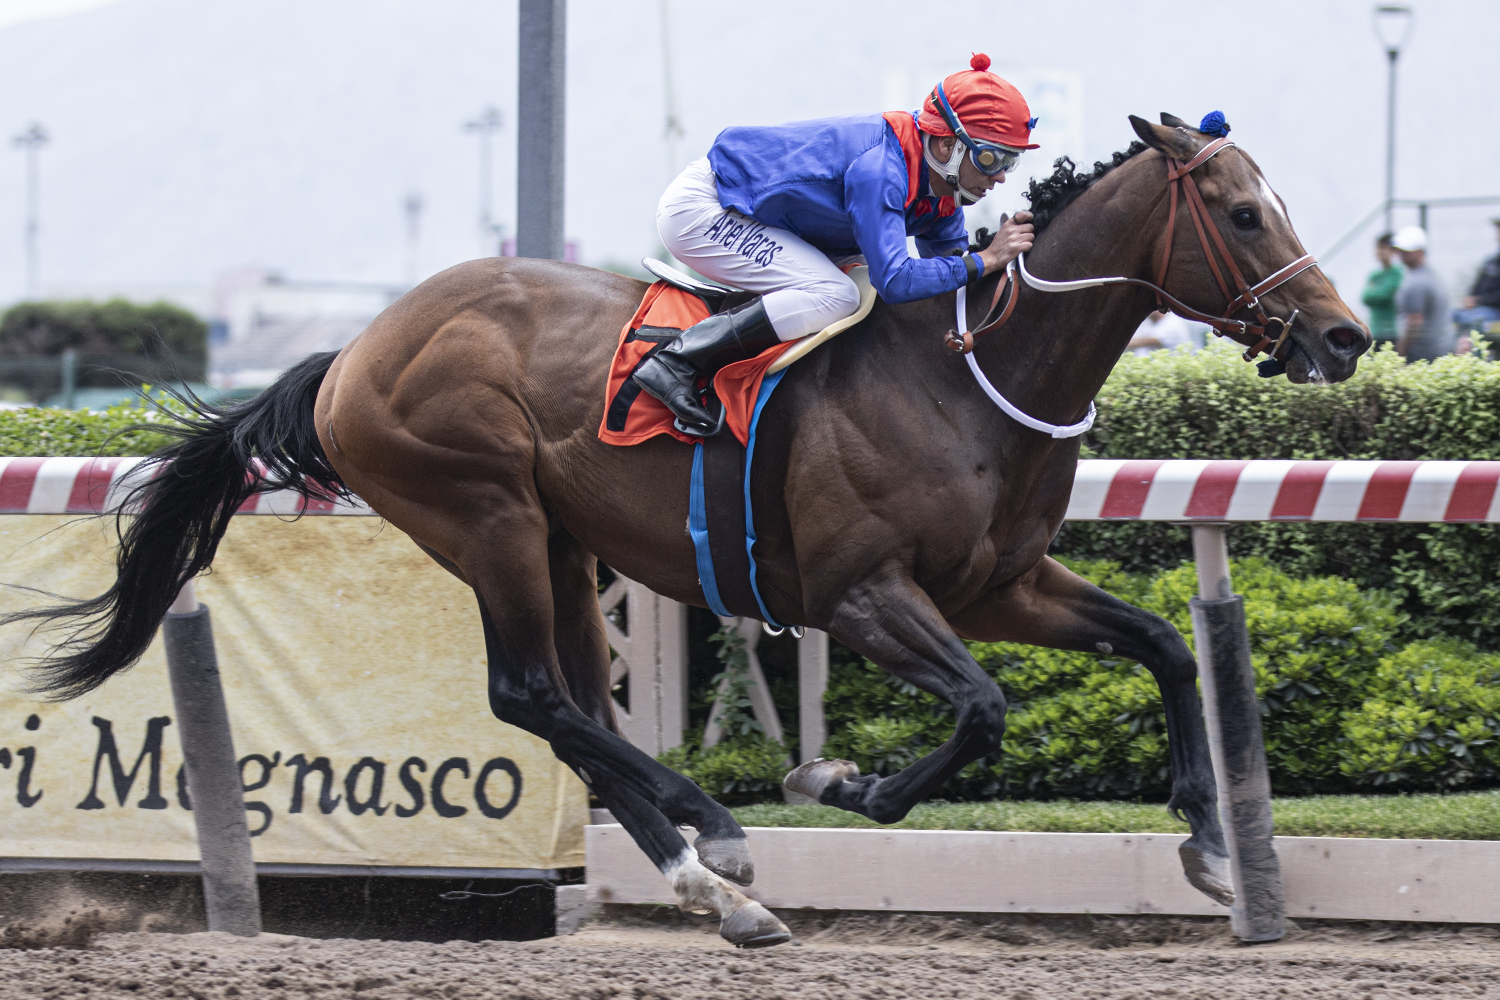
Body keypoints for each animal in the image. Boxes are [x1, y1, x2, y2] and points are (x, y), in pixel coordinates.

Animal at [7, 115, 1367, 948]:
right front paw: (834, 777)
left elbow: (1165, 645)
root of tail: (356, 350)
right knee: (526, 694)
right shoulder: (863, 594)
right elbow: (981, 710)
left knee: (569, 704)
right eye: (1244, 212)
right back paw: (718, 839)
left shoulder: (1001, 585)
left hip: (561, 542)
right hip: (486, 511)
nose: (1344, 335)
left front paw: (1212, 849)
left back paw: (708, 878)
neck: (966, 376)